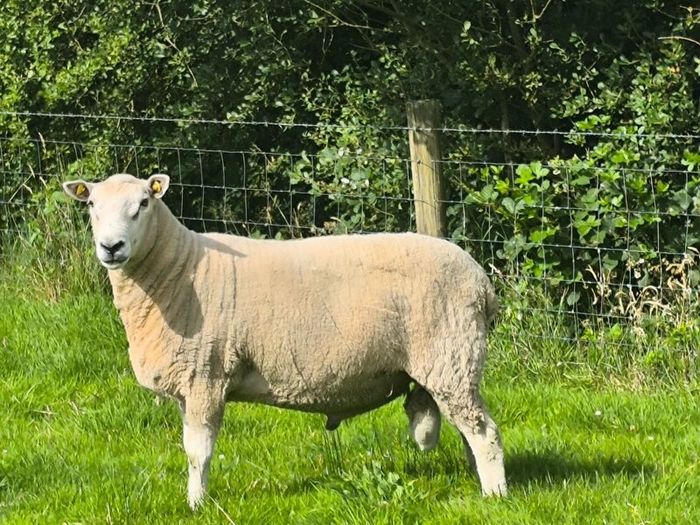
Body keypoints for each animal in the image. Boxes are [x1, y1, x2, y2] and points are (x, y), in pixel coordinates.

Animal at [62, 173, 507, 508]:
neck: (180, 270)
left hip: (450, 354)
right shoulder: (188, 382)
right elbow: (189, 449)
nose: (111, 247)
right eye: (91, 205)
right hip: (452, 365)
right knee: (469, 428)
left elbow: (198, 451)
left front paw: (196, 505)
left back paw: (495, 495)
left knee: (483, 431)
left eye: (143, 204)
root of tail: (481, 281)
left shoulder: (206, 374)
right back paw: (477, 482)